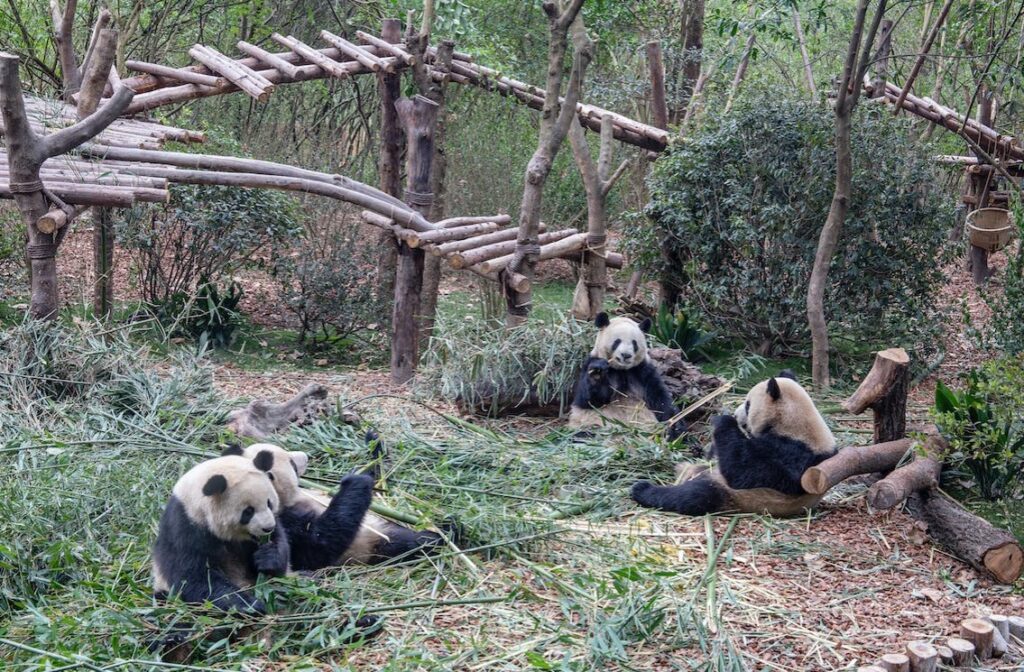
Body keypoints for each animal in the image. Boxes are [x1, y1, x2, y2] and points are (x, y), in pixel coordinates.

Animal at [152, 452, 287, 614]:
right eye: (248, 511)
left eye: (269, 503)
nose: (268, 527)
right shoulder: (185, 528)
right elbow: (194, 578)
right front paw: (249, 605)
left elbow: (279, 550)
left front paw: (266, 557)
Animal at [226, 443, 449, 567]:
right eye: (291, 463)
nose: (305, 456)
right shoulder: (281, 522)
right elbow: (320, 544)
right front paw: (357, 482)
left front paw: (373, 445)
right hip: (370, 545)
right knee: (409, 544)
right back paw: (444, 535)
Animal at [630, 372, 837, 517]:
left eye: (747, 404)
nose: (737, 415)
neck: (796, 424)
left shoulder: (793, 454)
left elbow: (744, 471)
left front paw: (724, 420)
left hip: (737, 496)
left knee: (694, 496)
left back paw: (642, 489)